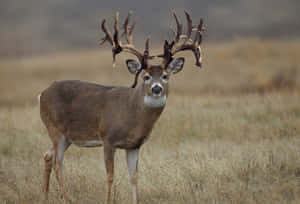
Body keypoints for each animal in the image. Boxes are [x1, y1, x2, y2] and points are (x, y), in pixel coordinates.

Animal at [39, 11, 204, 204]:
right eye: (146, 76)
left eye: (165, 76)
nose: (156, 88)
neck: (131, 114)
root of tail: (42, 94)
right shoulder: (108, 138)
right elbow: (110, 176)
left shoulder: (134, 145)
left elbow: (134, 177)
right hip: (54, 128)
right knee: (58, 165)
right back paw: (64, 199)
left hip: (67, 137)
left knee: (47, 156)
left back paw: (45, 196)